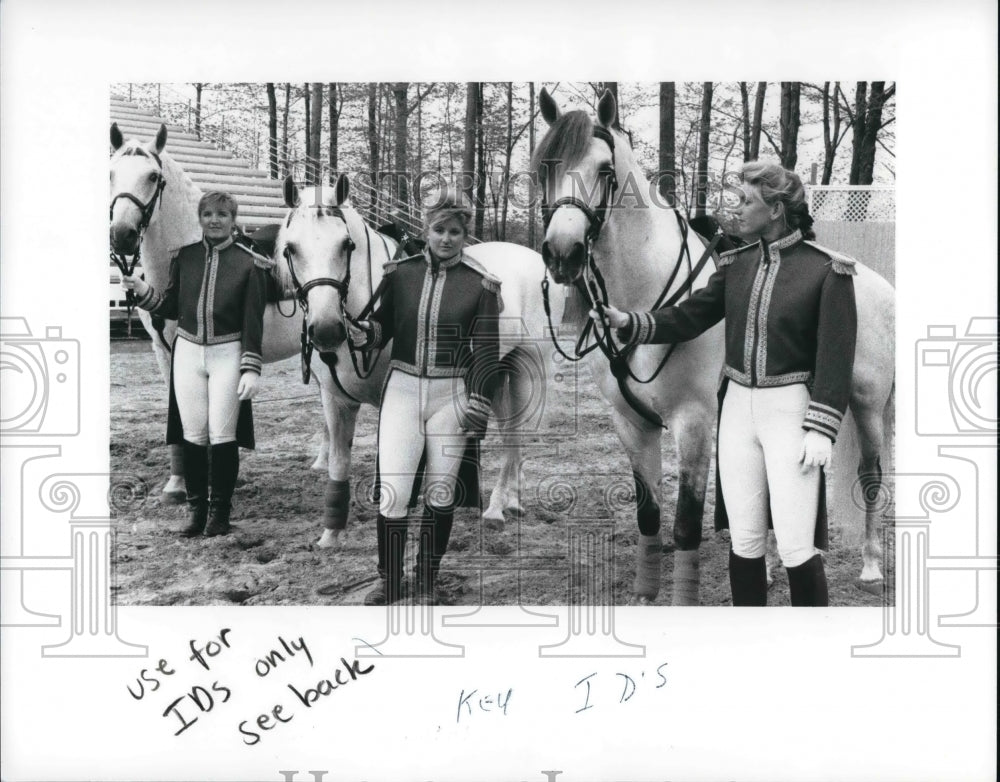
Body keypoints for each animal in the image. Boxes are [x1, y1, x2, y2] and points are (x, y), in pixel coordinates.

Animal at [274, 175, 560, 548]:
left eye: (346, 245)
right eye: (291, 248)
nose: (326, 329)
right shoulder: (335, 401)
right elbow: (338, 463)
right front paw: (330, 534)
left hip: (528, 368)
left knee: (516, 432)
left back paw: (498, 506)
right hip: (495, 374)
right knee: (510, 434)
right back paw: (510, 498)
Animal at [536, 92, 896, 608]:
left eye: (605, 170)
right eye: (544, 167)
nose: (562, 254)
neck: (647, 292)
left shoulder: (693, 422)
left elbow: (686, 526)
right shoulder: (632, 425)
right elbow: (649, 515)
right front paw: (646, 594)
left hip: (866, 406)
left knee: (870, 475)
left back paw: (869, 566)